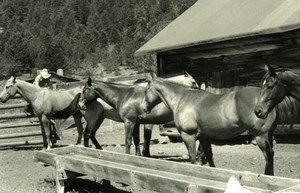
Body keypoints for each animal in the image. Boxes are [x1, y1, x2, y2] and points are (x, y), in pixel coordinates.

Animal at [141, 77, 282, 175]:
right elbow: (209, 156)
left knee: (268, 156)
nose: (143, 108)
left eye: (146, 90)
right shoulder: (204, 137)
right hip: (268, 136)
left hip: (260, 136)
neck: (182, 99)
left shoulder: (188, 136)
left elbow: (192, 157)